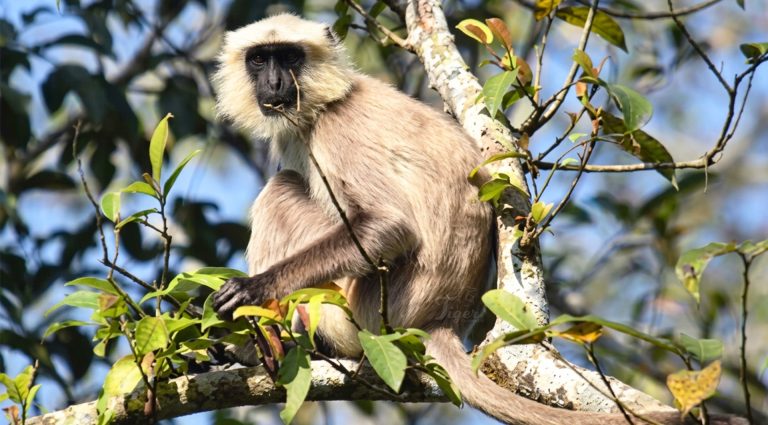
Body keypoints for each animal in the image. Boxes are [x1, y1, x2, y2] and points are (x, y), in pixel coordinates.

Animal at [210, 14, 744, 425]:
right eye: (259, 59)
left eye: (289, 58)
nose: (273, 82)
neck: (328, 101)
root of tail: (441, 319)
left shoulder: (333, 132)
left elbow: (388, 229)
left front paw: (253, 290)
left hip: (358, 313)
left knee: (281, 190)